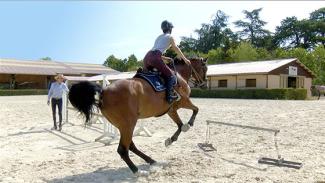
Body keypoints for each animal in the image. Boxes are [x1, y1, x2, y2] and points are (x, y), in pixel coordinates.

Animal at [68, 57, 208, 174]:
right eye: (205, 68)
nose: (205, 85)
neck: (179, 74)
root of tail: (104, 92)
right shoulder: (184, 101)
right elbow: (196, 110)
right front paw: (189, 124)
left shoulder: (171, 110)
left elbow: (179, 125)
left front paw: (171, 140)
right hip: (128, 124)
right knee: (123, 149)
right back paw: (137, 171)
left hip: (123, 126)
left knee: (130, 146)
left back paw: (151, 160)